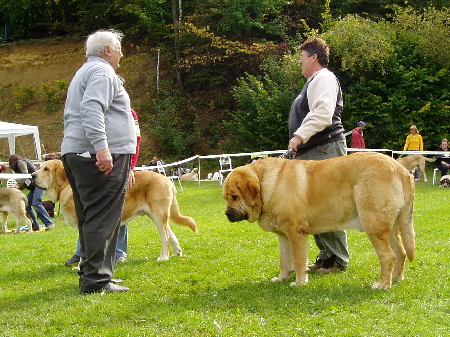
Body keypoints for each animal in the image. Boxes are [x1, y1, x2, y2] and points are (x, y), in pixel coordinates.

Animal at [32, 159, 198, 260]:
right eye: (40, 168)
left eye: (46, 169)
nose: (32, 175)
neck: (67, 186)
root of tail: (166, 179)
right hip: (156, 215)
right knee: (170, 233)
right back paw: (177, 252)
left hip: (158, 214)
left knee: (165, 237)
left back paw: (163, 257)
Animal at [223, 152, 416, 288]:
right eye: (226, 197)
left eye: (234, 197)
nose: (227, 214)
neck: (266, 184)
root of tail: (400, 169)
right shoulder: (284, 236)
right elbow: (284, 260)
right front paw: (281, 278)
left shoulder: (296, 232)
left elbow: (298, 260)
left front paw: (299, 282)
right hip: (391, 227)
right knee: (401, 252)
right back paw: (396, 278)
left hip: (373, 224)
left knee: (388, 256)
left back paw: (383, 284)